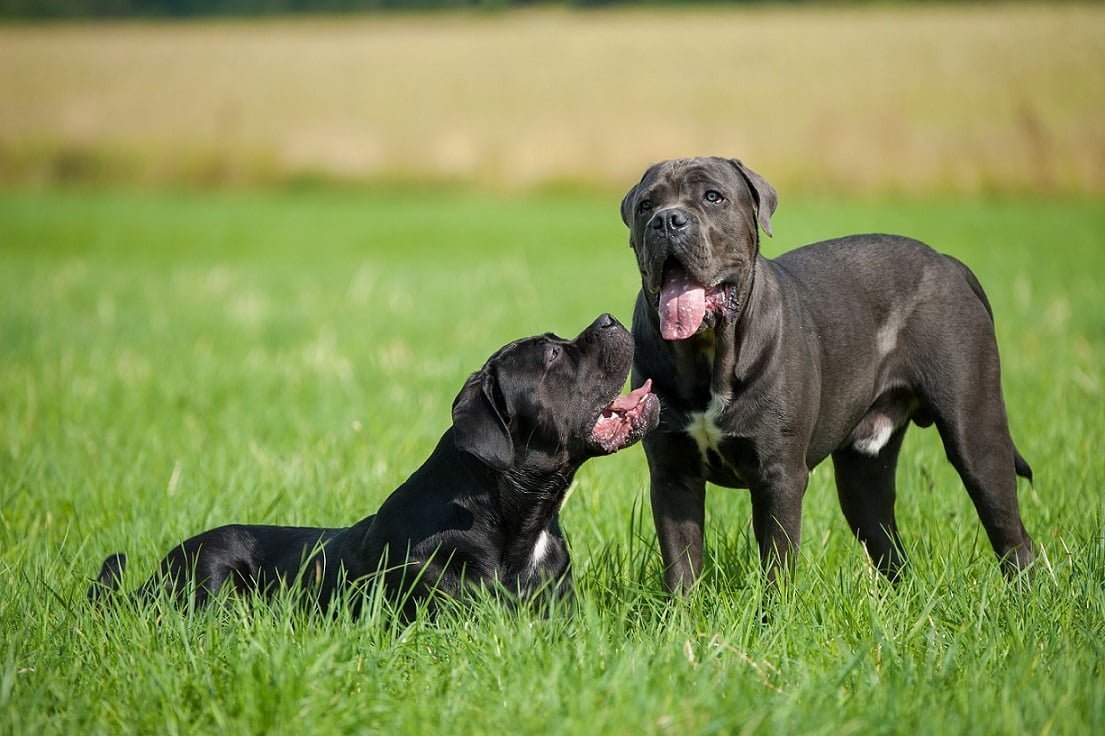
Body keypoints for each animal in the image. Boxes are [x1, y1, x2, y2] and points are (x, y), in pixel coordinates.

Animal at [623, 155, 1034, 592]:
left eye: (712, 197)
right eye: (646, 205)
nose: (668, 220)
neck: (707, 355)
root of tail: (948, 262)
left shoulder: (779, 476)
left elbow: (777, 563)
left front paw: (774, 611)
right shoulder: (672, 476)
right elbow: (681, 564)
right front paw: (681, 610)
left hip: (976, 437)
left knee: (1010, 532)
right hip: (862, 476)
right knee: (889, 545)